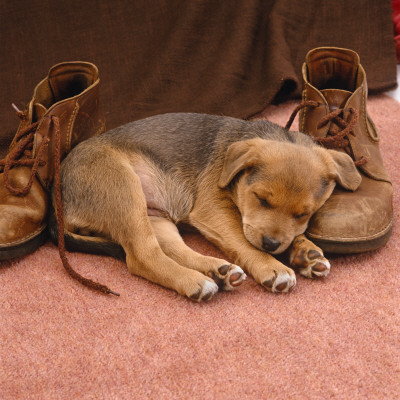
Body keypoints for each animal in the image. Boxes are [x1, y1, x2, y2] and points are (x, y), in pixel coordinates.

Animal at [48, 112, 360, 300]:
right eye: (261, 199)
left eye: (303, 214)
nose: (271, 245)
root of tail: (57, 200)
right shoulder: (214, 210)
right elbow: (244, 242)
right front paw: (273, 267)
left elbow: (291, 234)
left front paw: (305, 251)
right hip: (123, 189)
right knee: (142, 257)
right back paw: (196, 282)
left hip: (155, 216)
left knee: (171, 250)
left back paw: (217, 271)